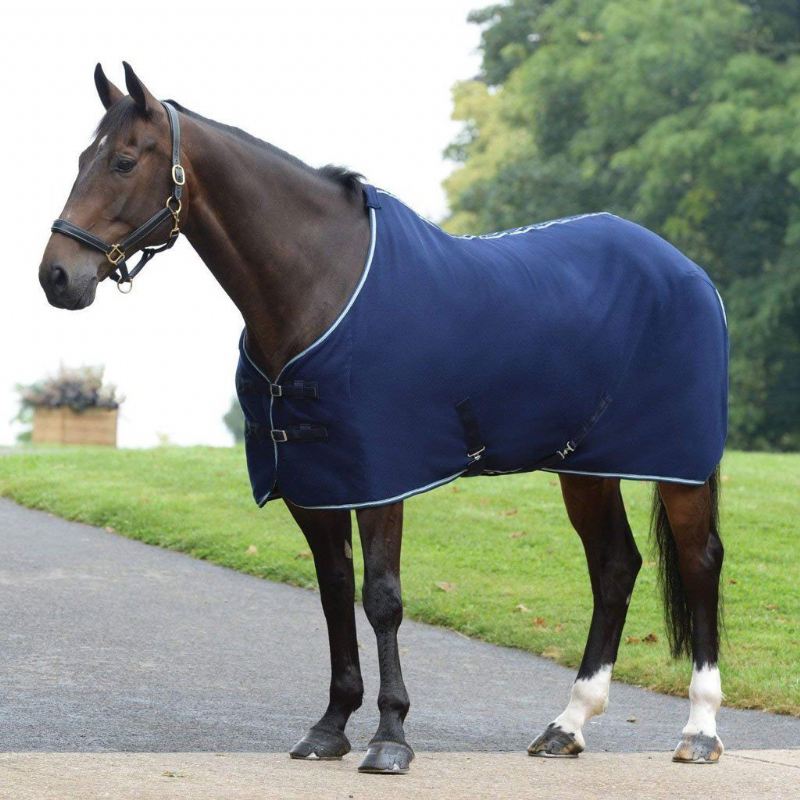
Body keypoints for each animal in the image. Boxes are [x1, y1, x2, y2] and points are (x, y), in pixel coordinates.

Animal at [36, 65, 724, 772]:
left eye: (123, 160)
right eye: (82, 158)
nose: (57, 276)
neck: (321, 283)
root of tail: (685, 268)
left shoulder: (380, 479)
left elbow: (383, 599)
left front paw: (390, 735)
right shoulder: (313, 482)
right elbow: (335, 593)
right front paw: (331, 725)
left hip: (678, 465)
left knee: (699, 561)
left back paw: (699, 730)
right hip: (584, 466)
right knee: (614, 566)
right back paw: (569, 723)